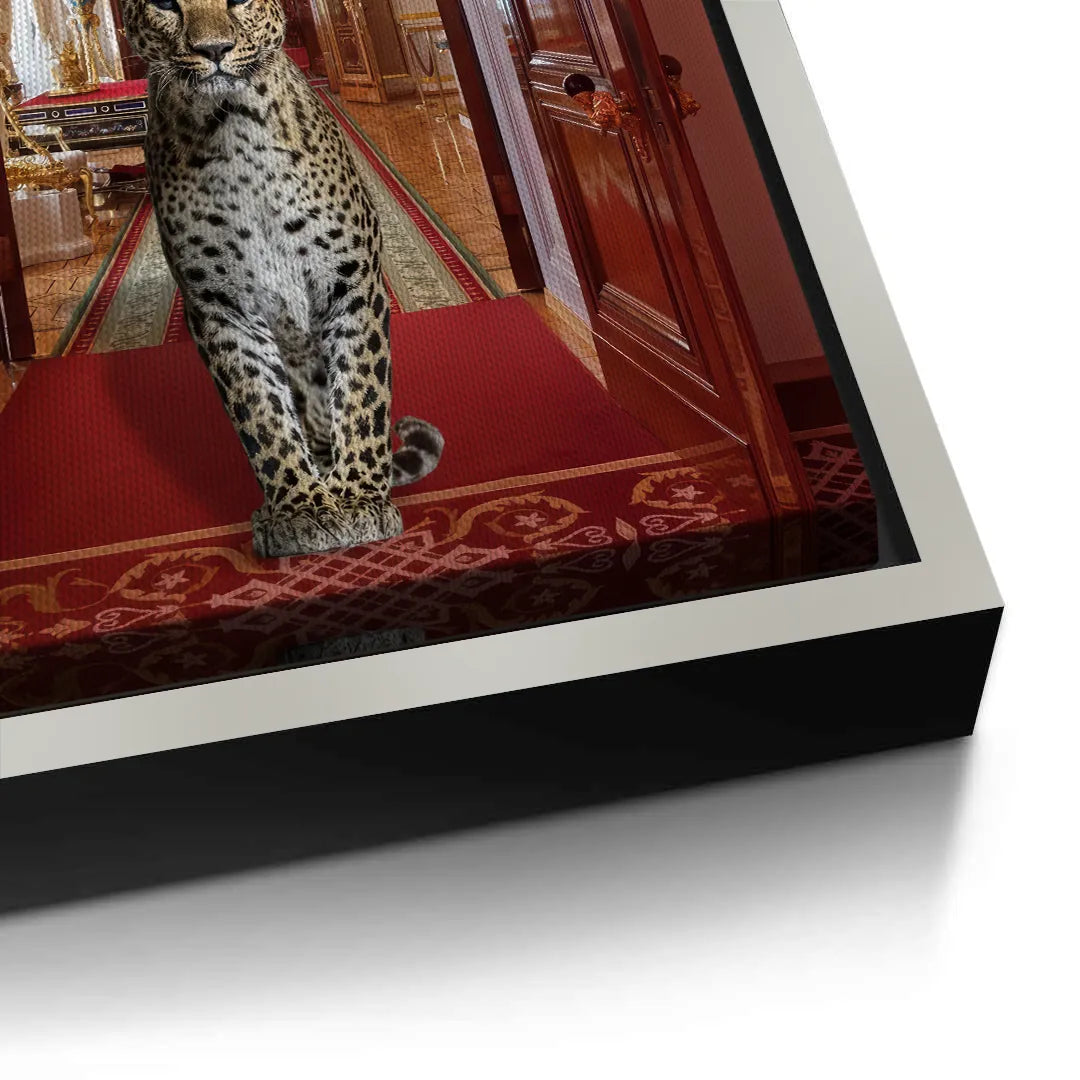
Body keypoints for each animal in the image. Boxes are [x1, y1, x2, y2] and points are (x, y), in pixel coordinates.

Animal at [121, 0, 444, 558]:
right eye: (164, 5)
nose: (213, 49)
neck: (233, 133)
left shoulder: (353, 283)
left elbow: (361, 393)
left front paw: (360, 498)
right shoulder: (220, 306)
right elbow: (261, 412)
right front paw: (300, 509)